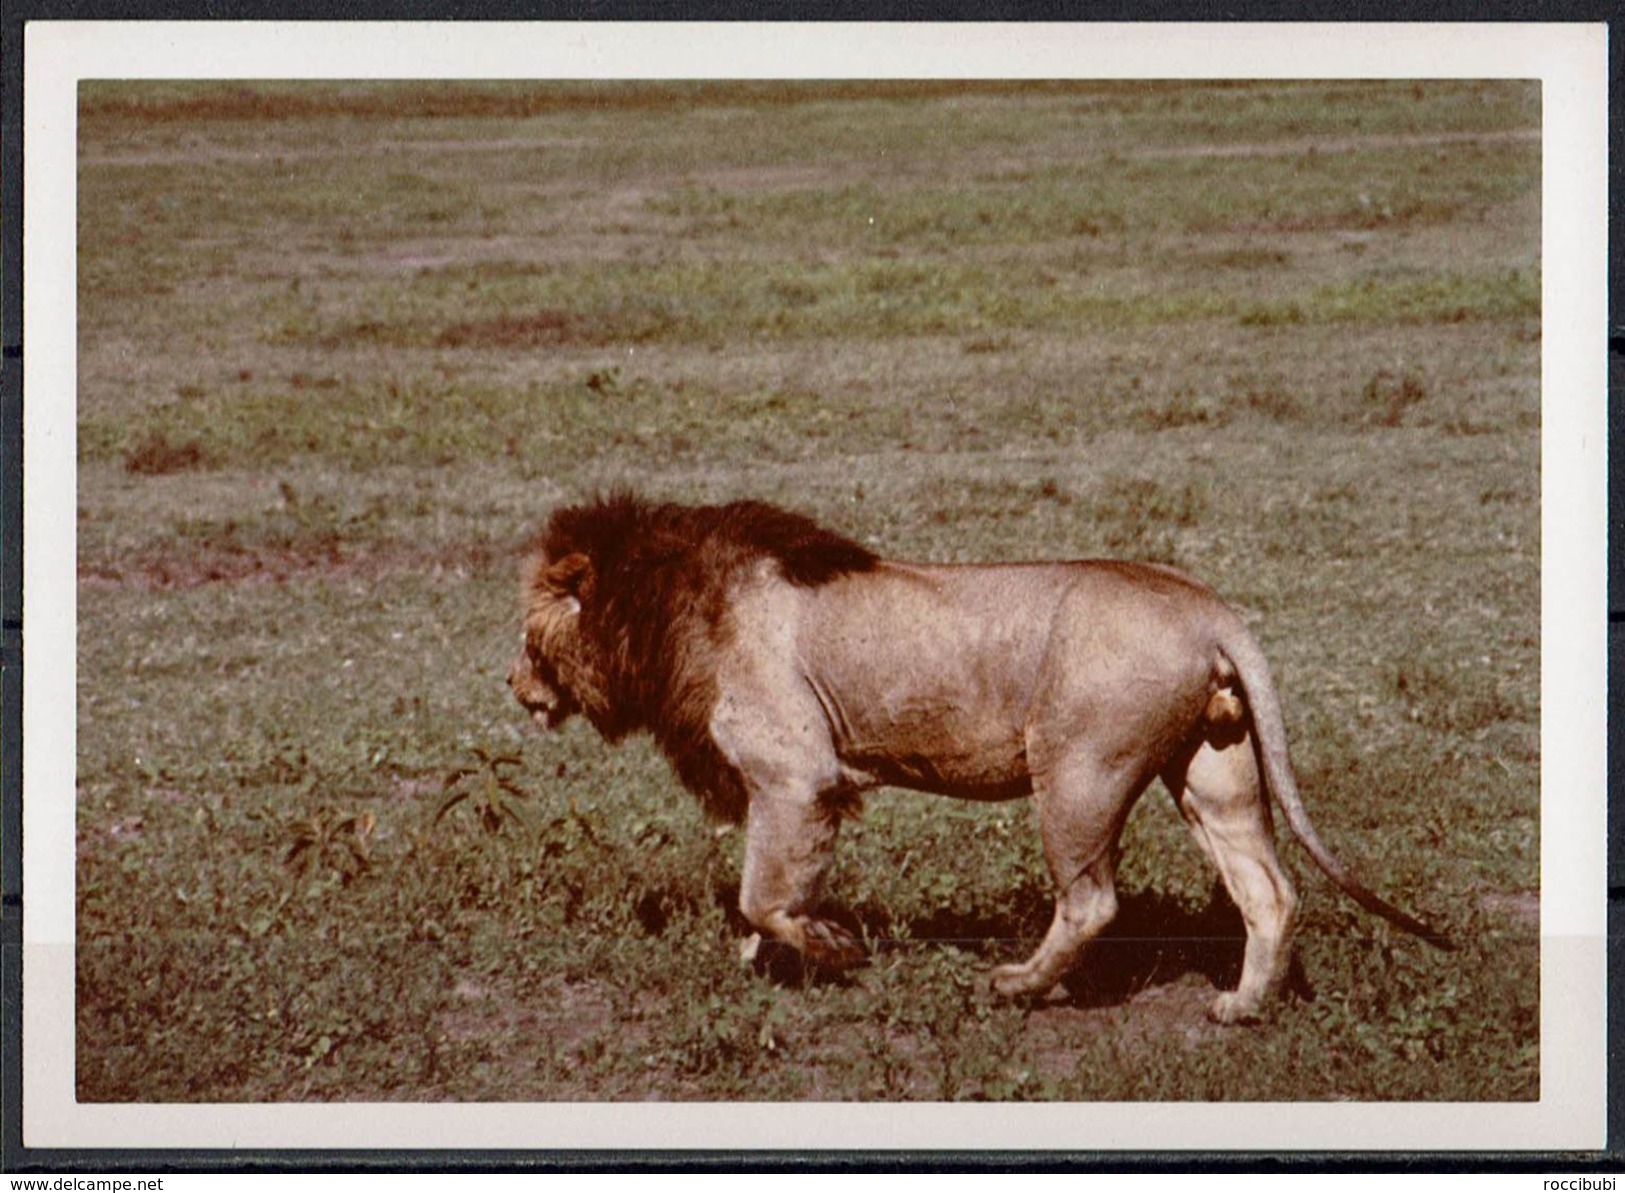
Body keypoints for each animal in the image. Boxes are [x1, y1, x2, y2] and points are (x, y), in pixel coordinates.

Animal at [507, 494, 1449, 1027]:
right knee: (1269, 890)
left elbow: (764, 893)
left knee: (1091, 901)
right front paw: (757, 961)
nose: (511, 684)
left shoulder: (794, 772)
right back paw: (1240, 1007)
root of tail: (1208, 607)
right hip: (1213, 769)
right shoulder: (784, 787)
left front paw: (832, 951)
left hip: (1077, 772)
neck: (665, 613)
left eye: (526, 634)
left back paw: (1018, 987)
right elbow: (767, 893)